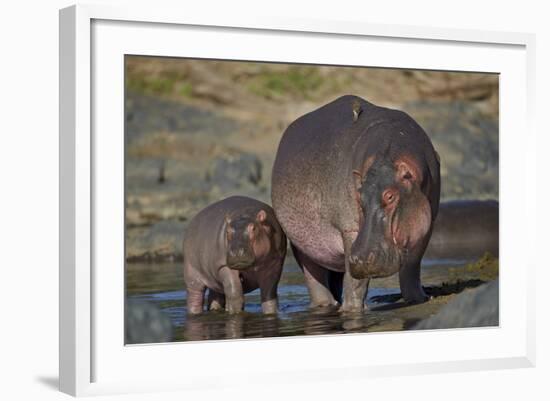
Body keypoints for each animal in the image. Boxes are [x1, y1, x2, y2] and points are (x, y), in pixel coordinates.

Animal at [274, 94, 442, 312]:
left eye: (390, 196)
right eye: (359, 195)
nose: (360, 259)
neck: (389, 152)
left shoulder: (426, 224)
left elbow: (412, 266)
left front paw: (418, 299)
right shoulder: (350, 230)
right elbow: (355, 282)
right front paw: (351, 311)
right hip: (302, 243)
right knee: (314, 277)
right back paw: (326, 305)